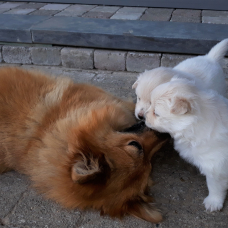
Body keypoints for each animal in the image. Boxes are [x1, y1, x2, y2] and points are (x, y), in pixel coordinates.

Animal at [145, 78, 228, 212]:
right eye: (150, 103)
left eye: (156, 113)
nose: (143, 117)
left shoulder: (215, 167)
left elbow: (214, 186)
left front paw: (213, 202)